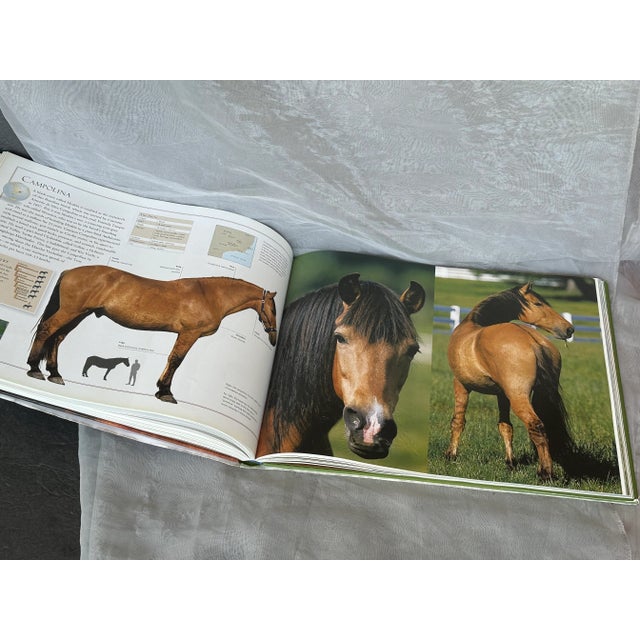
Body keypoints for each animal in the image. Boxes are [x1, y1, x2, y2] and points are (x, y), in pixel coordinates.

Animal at [27, 265, 278, 404]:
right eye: (274, 309)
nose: (273, 338)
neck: (209, 295)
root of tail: (70, 271)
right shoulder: (189, 333)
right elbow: (176, 360)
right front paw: (166, 392)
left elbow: (171, 359)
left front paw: (160, 389)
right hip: (71, 311)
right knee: (47, 330)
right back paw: (34, 368)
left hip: (80, 314)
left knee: (57, 338)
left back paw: (55, 373)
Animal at [445, 282, 575, 480]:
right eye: (538, 303)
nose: (569, 329)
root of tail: (534, 342)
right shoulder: (502, 395)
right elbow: (505, 427)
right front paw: (510, 462)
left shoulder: (460, 385)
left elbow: (458, 421)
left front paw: (451, 455)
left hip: (518, 398)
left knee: (536, 427)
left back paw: (546, 473)